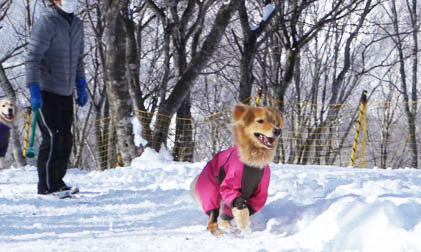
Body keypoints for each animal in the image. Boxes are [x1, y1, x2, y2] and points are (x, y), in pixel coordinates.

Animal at [190, 102, 282, 234]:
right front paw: (244, 226)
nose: (277, 131)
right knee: (212, 217)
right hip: (210, 189)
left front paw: (244, 225)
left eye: (275, 122)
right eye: (260, 121)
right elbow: (241, 206)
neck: (253, 162)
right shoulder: (229, 185)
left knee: (224, 217)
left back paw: (230, 227)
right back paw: (217, 230)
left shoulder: (261, 192)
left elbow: (249, 208)